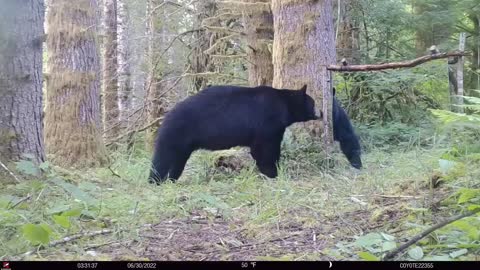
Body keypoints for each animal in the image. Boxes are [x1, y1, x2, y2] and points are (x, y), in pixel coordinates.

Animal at [148, 85, 320, 185]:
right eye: (313, 103)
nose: (322, 113)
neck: (283, 104)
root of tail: (165, 118)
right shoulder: (267, 123)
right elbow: (265, 149)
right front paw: (272, 172)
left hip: (183, 146)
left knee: (177, 162)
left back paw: (172, 179)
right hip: (175, 134)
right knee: (162, 158)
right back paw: (154, 181)